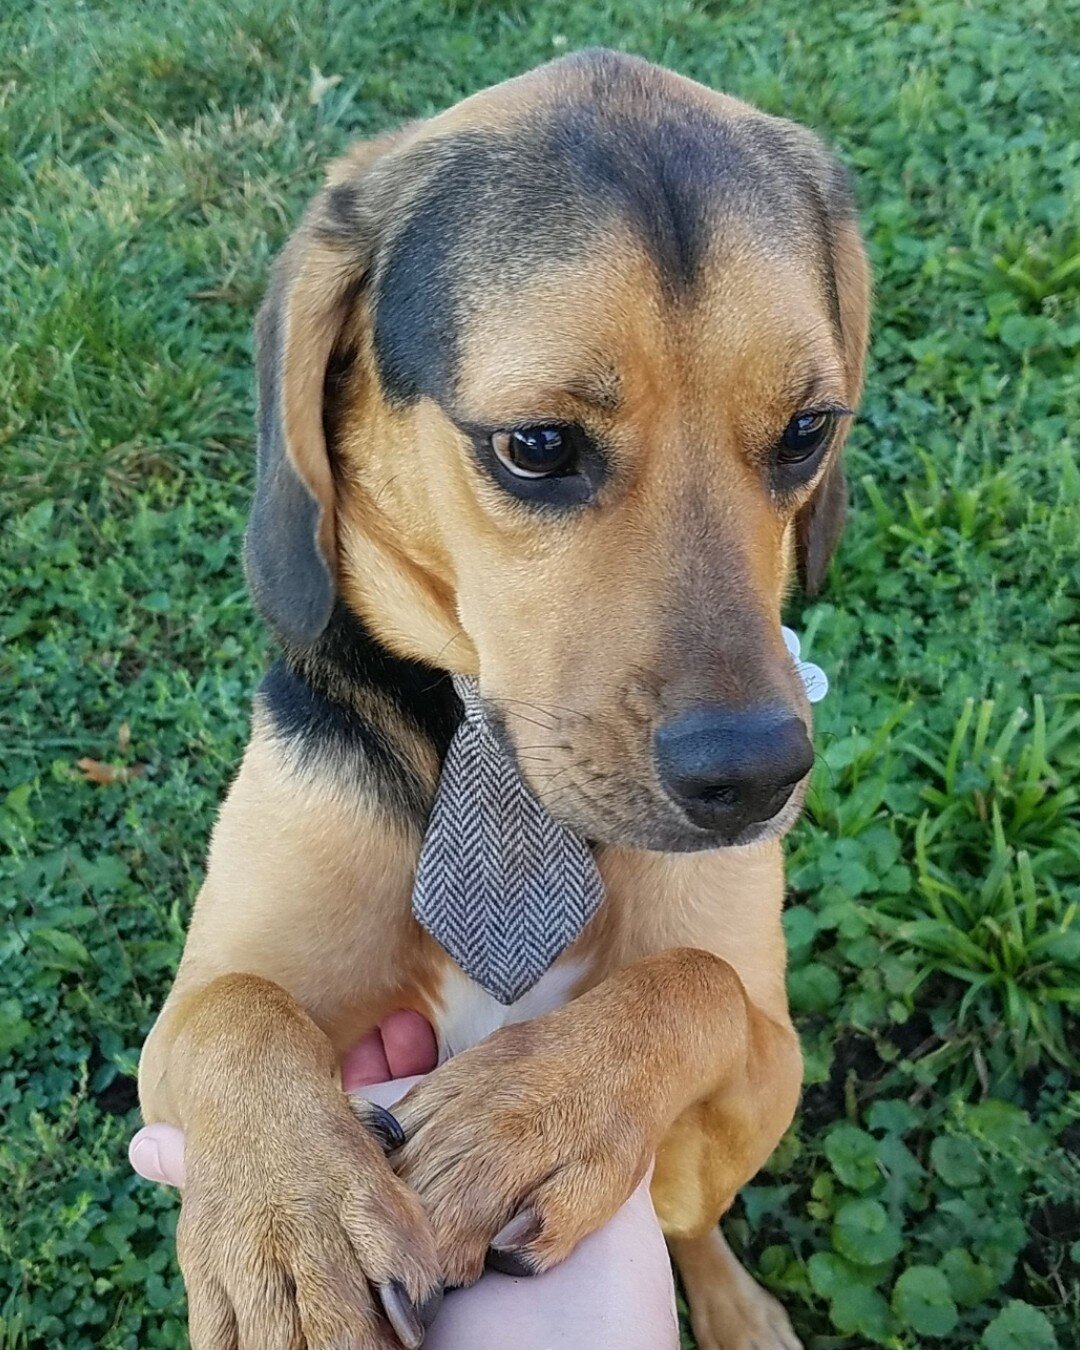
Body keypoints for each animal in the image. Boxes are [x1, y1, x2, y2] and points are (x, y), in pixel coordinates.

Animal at [139, 47, 874, 1344]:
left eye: (805, 431)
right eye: (536, 446)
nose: (755, 778)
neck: (503, 776)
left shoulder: (771, 1047)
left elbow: (696, 983)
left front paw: (526, 1116)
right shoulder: (188, 1015)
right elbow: (236, 1010)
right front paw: (288, 1232)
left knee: (688, 1220)